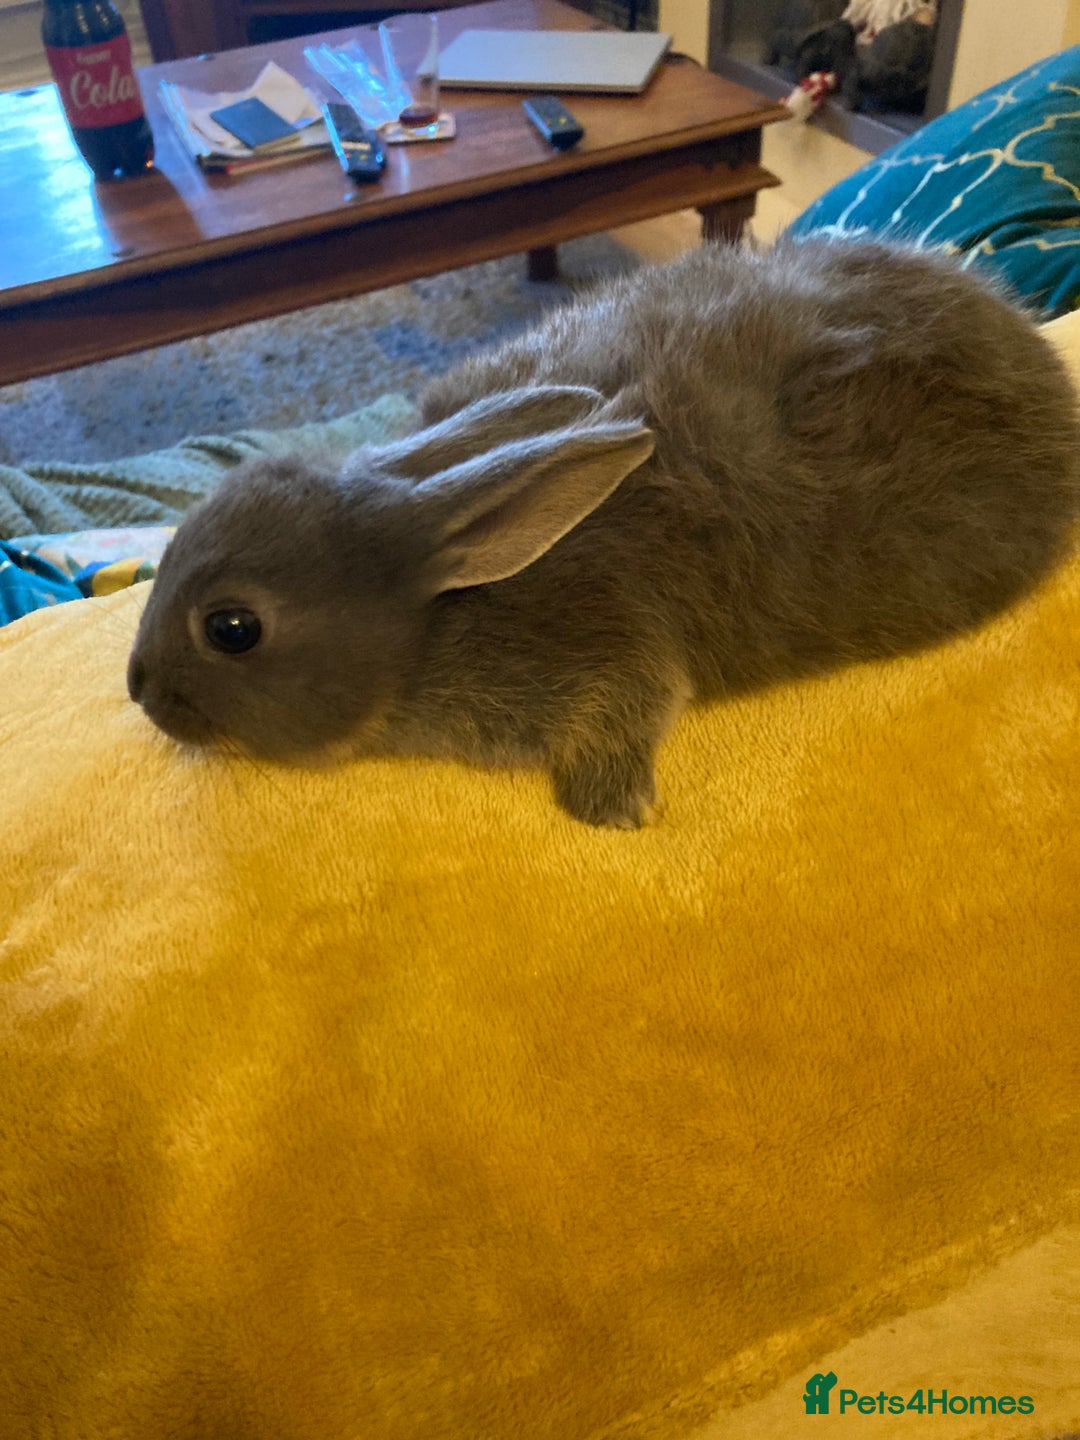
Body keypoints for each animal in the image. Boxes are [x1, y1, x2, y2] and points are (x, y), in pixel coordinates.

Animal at [128, 238, 1080, 829]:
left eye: (232, 629)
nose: (139, 689)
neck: (440, 602)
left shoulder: (610, 640)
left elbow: (631, 699)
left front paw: (614, 806)